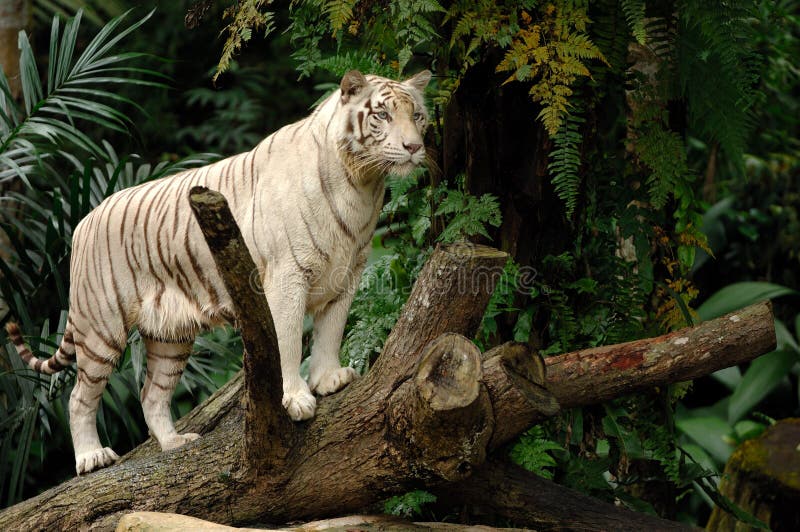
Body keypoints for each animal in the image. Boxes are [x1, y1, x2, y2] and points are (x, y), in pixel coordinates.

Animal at [4, 69, 432, 474]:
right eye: (382, 114)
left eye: (418, 116)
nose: (414, 147)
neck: (360, 183)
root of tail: (81, 223)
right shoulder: (287, 277)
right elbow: (289, 341)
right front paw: (295, 398)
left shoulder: (346, 275)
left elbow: (331, 331)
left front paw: (329, 380)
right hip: (101, 326)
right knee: (79, 397)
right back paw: (92, 457)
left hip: (170, 336)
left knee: (150, 394)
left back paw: (175, 443)